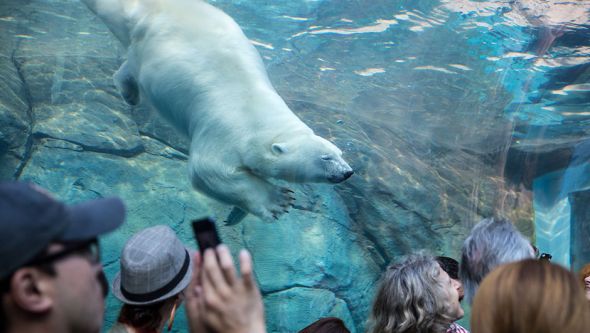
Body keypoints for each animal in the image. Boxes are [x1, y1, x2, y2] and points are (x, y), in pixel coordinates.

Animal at [81, 0, 354, 220]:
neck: (259, 115)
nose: (347, 172)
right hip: (145, 38)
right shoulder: (225, 131)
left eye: (340, 153)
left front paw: (237, 215)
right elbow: (209, 170)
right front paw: (279, 201)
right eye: (325, 158)